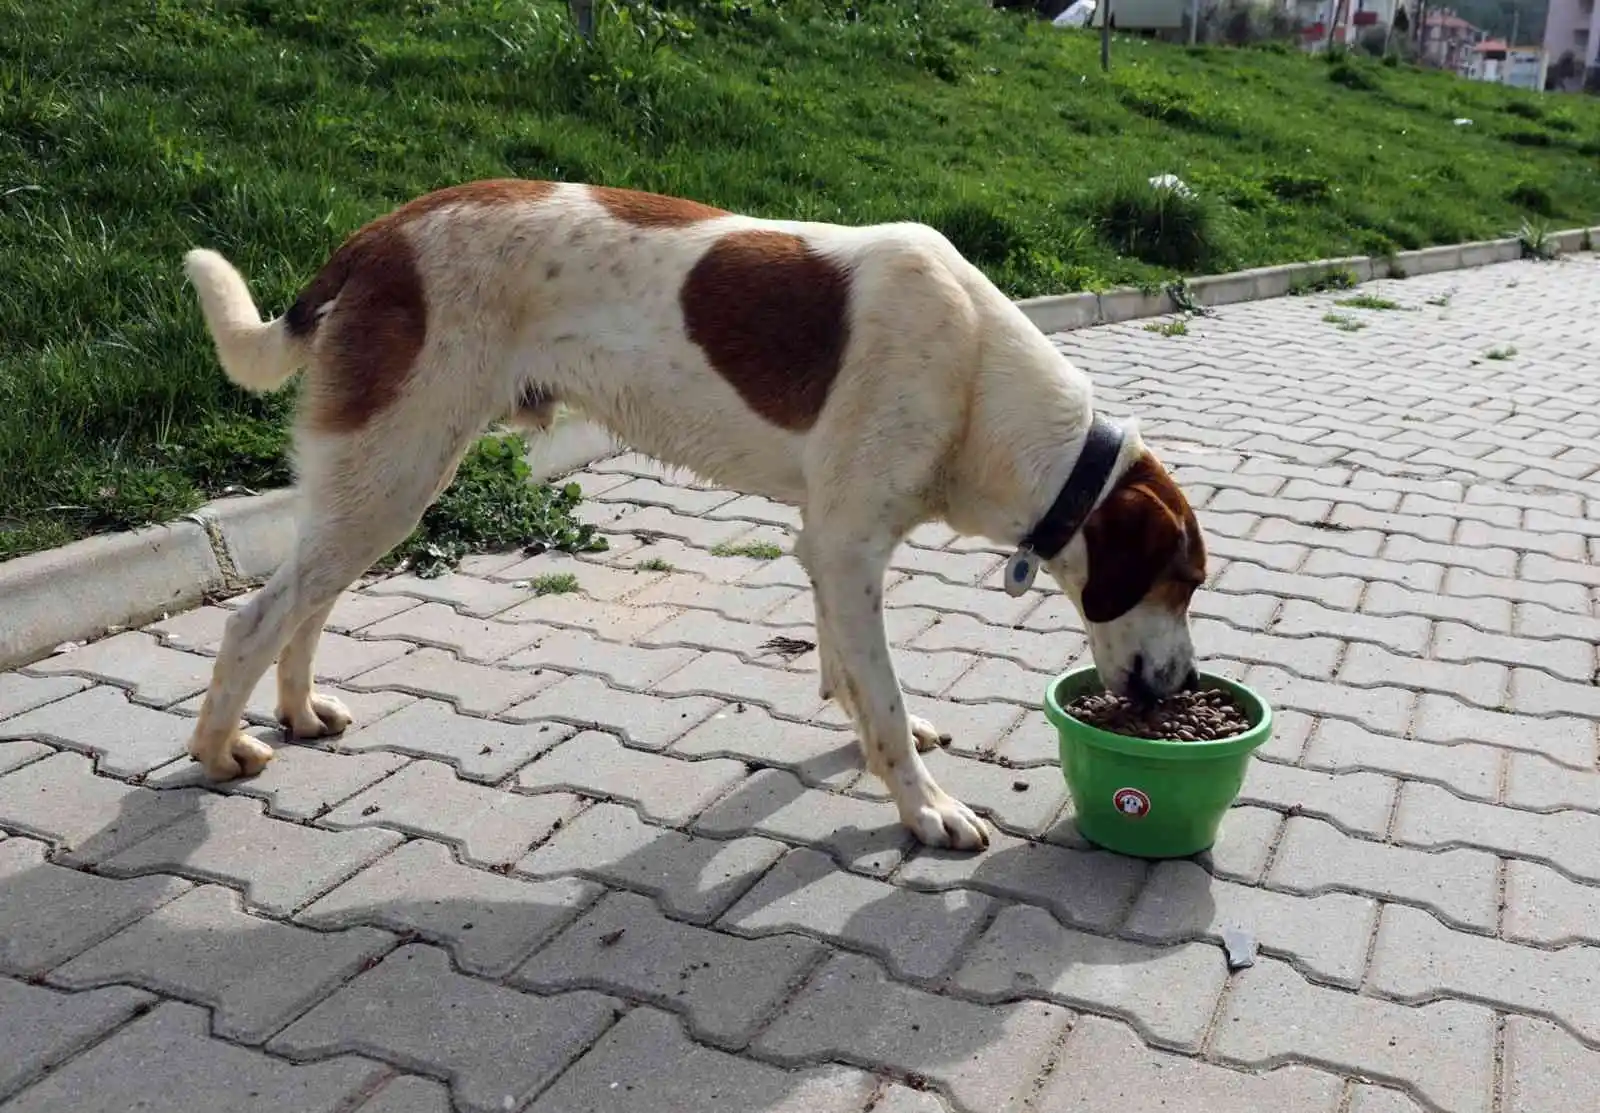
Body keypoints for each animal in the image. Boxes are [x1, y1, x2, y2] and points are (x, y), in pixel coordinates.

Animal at [181, 178, 1203, 850]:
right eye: (1185, 582)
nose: (1185, 685)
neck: (979, 377)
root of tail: (379, 233)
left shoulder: (828, 545)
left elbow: (851, 676)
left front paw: (882, 742)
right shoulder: (848, 547)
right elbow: (878, 689)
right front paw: (924, 807)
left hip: (378, 483)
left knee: (308, 604)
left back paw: (300, 710)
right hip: (398, 469)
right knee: (257, 618)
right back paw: (219, 751)